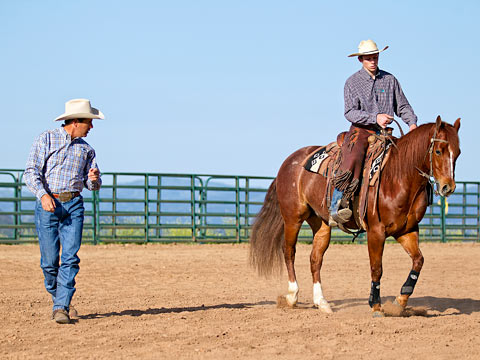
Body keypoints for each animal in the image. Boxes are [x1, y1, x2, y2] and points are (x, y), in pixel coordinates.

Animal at [249, 116, 460, 316]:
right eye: (438, 151)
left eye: (457, 153)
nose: (447, 187)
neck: (398, 176)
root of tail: (289, 162)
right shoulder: (376, 232)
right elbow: (377, 268)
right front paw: (376, 305)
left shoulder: (406, 231)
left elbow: (418, 261)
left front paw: (399, 302)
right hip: (293, 217)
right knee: (289, 252)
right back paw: (292, 296)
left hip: (321, 223)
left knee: (315, 258)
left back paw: (322, 302)